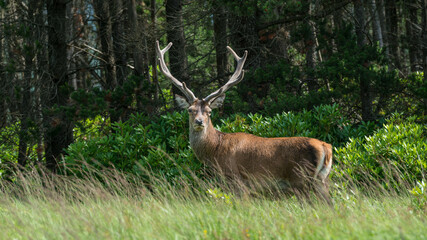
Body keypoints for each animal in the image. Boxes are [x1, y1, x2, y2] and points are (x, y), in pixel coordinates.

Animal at [156, 41, 334, 202]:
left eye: (209, 112)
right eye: (190, 110)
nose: (199, 122)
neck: (215, 151)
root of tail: (326, 147)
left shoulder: (236, 180)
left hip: (301, 179)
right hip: (321, 180)